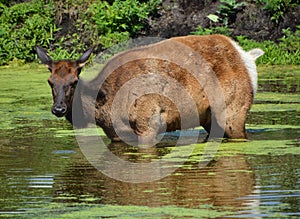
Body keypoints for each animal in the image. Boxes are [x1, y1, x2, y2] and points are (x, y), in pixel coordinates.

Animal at [36, 34, 264, 144]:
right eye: (50, 81)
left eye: (74, 81)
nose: (59, 109)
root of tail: (246, 57)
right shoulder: (117, 136)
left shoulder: (148, 124)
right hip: (209, 118)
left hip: (234, 111)